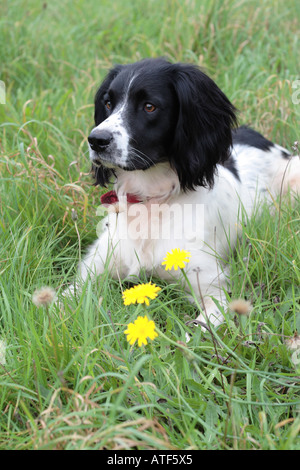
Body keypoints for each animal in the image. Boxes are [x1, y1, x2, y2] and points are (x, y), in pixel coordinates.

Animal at [67, 57, 298, 326]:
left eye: (149, 106)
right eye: (108, 103)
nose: (96, 140)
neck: (152, 202)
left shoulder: (214, 288)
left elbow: (196, 331)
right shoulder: (92, 270)